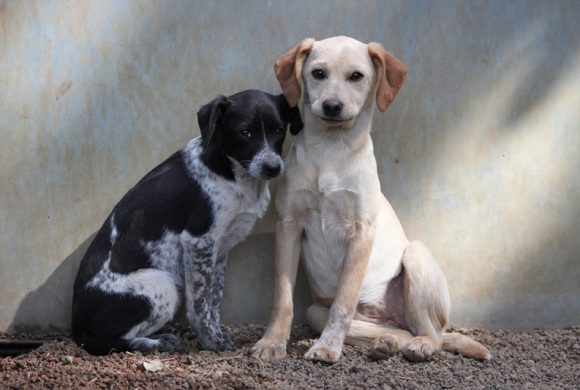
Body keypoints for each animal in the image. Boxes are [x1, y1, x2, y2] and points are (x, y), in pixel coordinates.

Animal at [72, 90, 304, 354]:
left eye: (279, 130)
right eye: (245, 132)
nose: (273, 168)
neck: (233, 172)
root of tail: (76, 327)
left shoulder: (220, 249)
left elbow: (214, 299)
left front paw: (216, 332)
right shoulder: (199, 241)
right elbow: (200, 304)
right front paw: (211, 341)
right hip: (161, 283)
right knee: (105, 341)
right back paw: (156, 342)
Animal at [250, 35, 490, 362]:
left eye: (356, 76)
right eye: (318, 73)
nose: (332, 106)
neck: (330, 149)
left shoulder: (361, 230)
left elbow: (343, 303)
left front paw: (327, 347)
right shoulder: (288, 225)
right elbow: (282, 298)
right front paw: (272, 342)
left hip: (415, 257)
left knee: (432, 334)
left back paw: (419, 346)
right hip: (315, 311)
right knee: (399, 330)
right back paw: (386, 343)